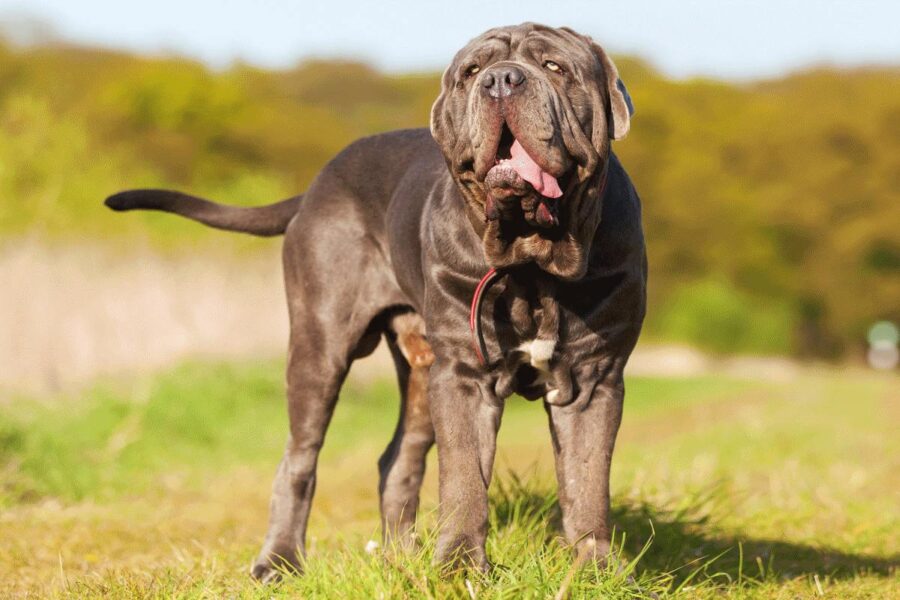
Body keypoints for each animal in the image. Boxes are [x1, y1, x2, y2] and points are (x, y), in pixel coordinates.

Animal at [105, 23, 648, 580]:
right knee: (300, 456)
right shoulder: (463, 376)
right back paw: (279, 560)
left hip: (421, 373)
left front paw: (596, 569)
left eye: (555, 67)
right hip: (321, 347)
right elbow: (464, 479)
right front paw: (458, 568)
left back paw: (399, 556)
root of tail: (315, 186)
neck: (532, 259)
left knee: (398, 458)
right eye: (472, 71)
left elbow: (587, 483)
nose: (501, 80)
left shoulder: (592, 378)